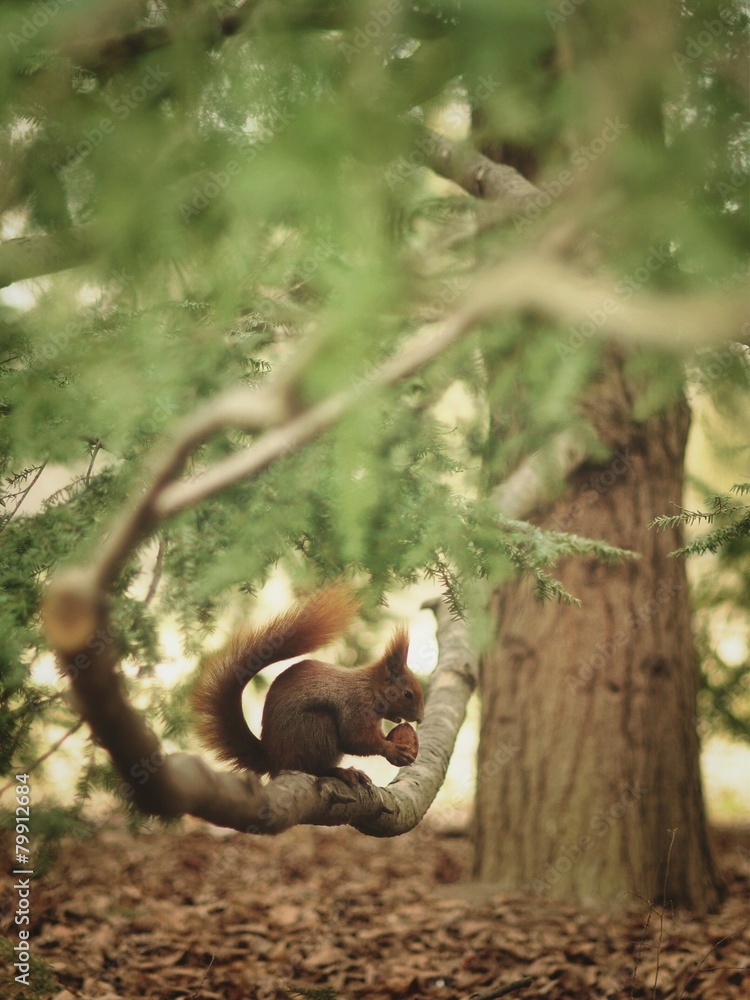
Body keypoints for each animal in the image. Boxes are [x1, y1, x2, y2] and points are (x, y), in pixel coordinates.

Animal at [191, 582, 424, 786]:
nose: (420, 718)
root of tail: (274, 759)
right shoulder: (356, 707)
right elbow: (355, 739)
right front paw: (392, 750)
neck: (370, 689)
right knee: (314, 768)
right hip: (317, 729)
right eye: (408, 694)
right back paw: (341, 772)